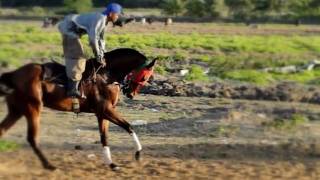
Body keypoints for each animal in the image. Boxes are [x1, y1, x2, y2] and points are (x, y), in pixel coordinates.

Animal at [0, 47, 156, 170]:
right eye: (145, 77)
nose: (131, 94)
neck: (106, 75)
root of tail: (14, 74)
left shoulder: (101, 114)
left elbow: (104, 138)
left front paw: (112, 164)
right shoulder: (106, 110)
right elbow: (128, 126)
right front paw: (138, 153)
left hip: (17, 110)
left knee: (3, 130)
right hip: (33, 109)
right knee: (32, 138)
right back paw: (49, 165)